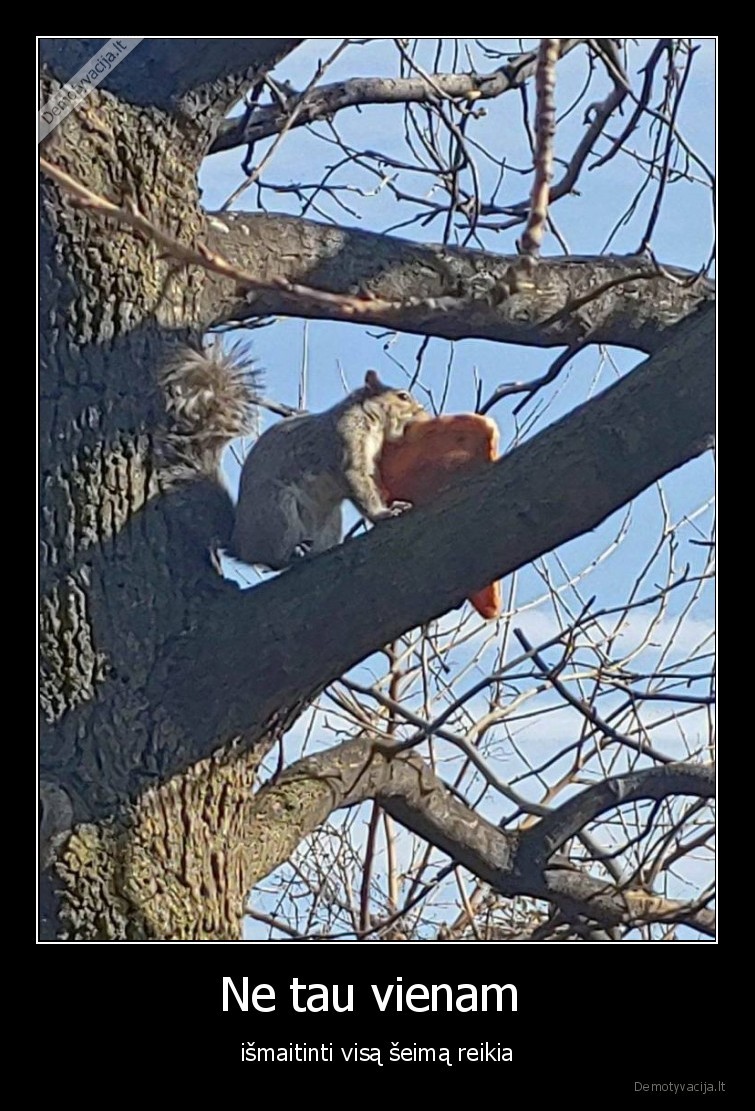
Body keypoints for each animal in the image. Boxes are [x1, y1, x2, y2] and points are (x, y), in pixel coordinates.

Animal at [160, 344, 424, 573]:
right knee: (271, 559)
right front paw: (382, 514)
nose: (421, 409)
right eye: (402, 396)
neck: (371, 422)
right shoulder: (344, 442)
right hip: (278, 511)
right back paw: (292, 555)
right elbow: (357, 482)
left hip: (329, 522)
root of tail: (239, 543)